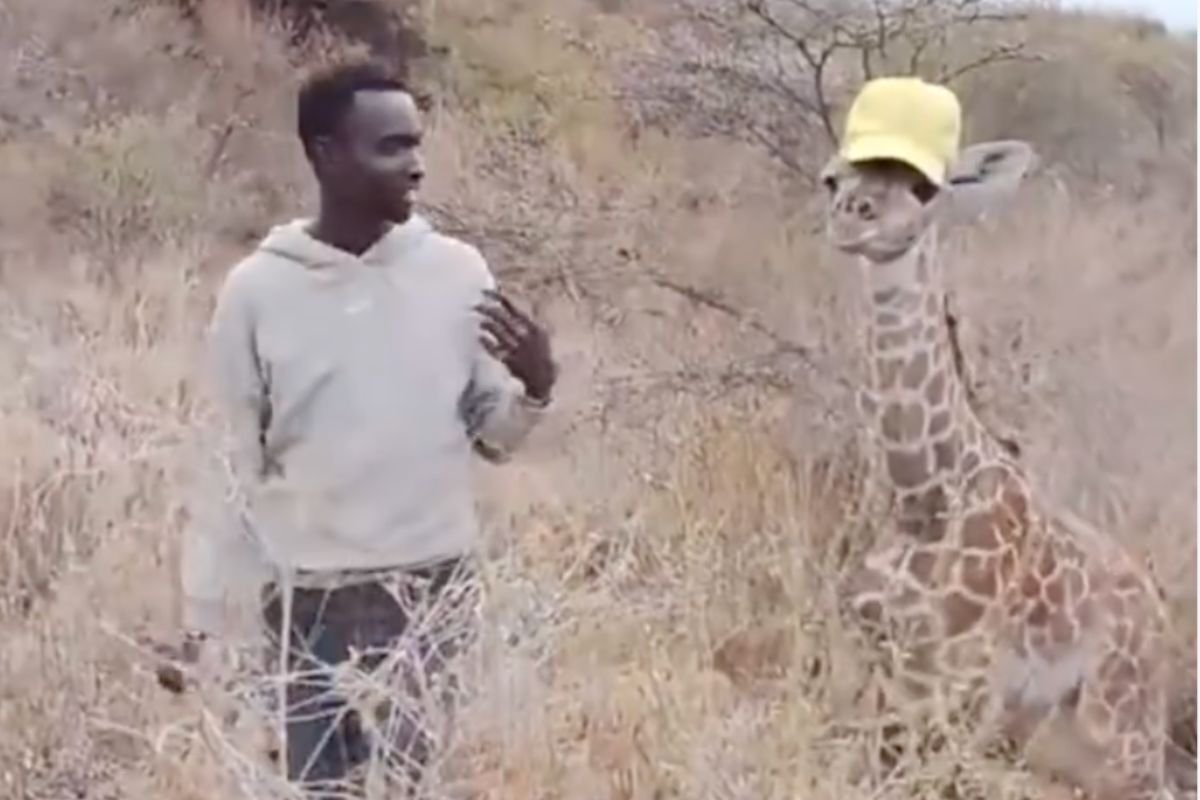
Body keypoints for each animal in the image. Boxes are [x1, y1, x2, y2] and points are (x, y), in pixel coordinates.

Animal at [818, 77, 1183, 800]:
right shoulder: (870, 654)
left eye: (924, 189)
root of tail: (1161, 623)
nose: (853, 216)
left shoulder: (948, 676)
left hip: (1116, 730)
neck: (920, 495)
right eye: (833, 178)